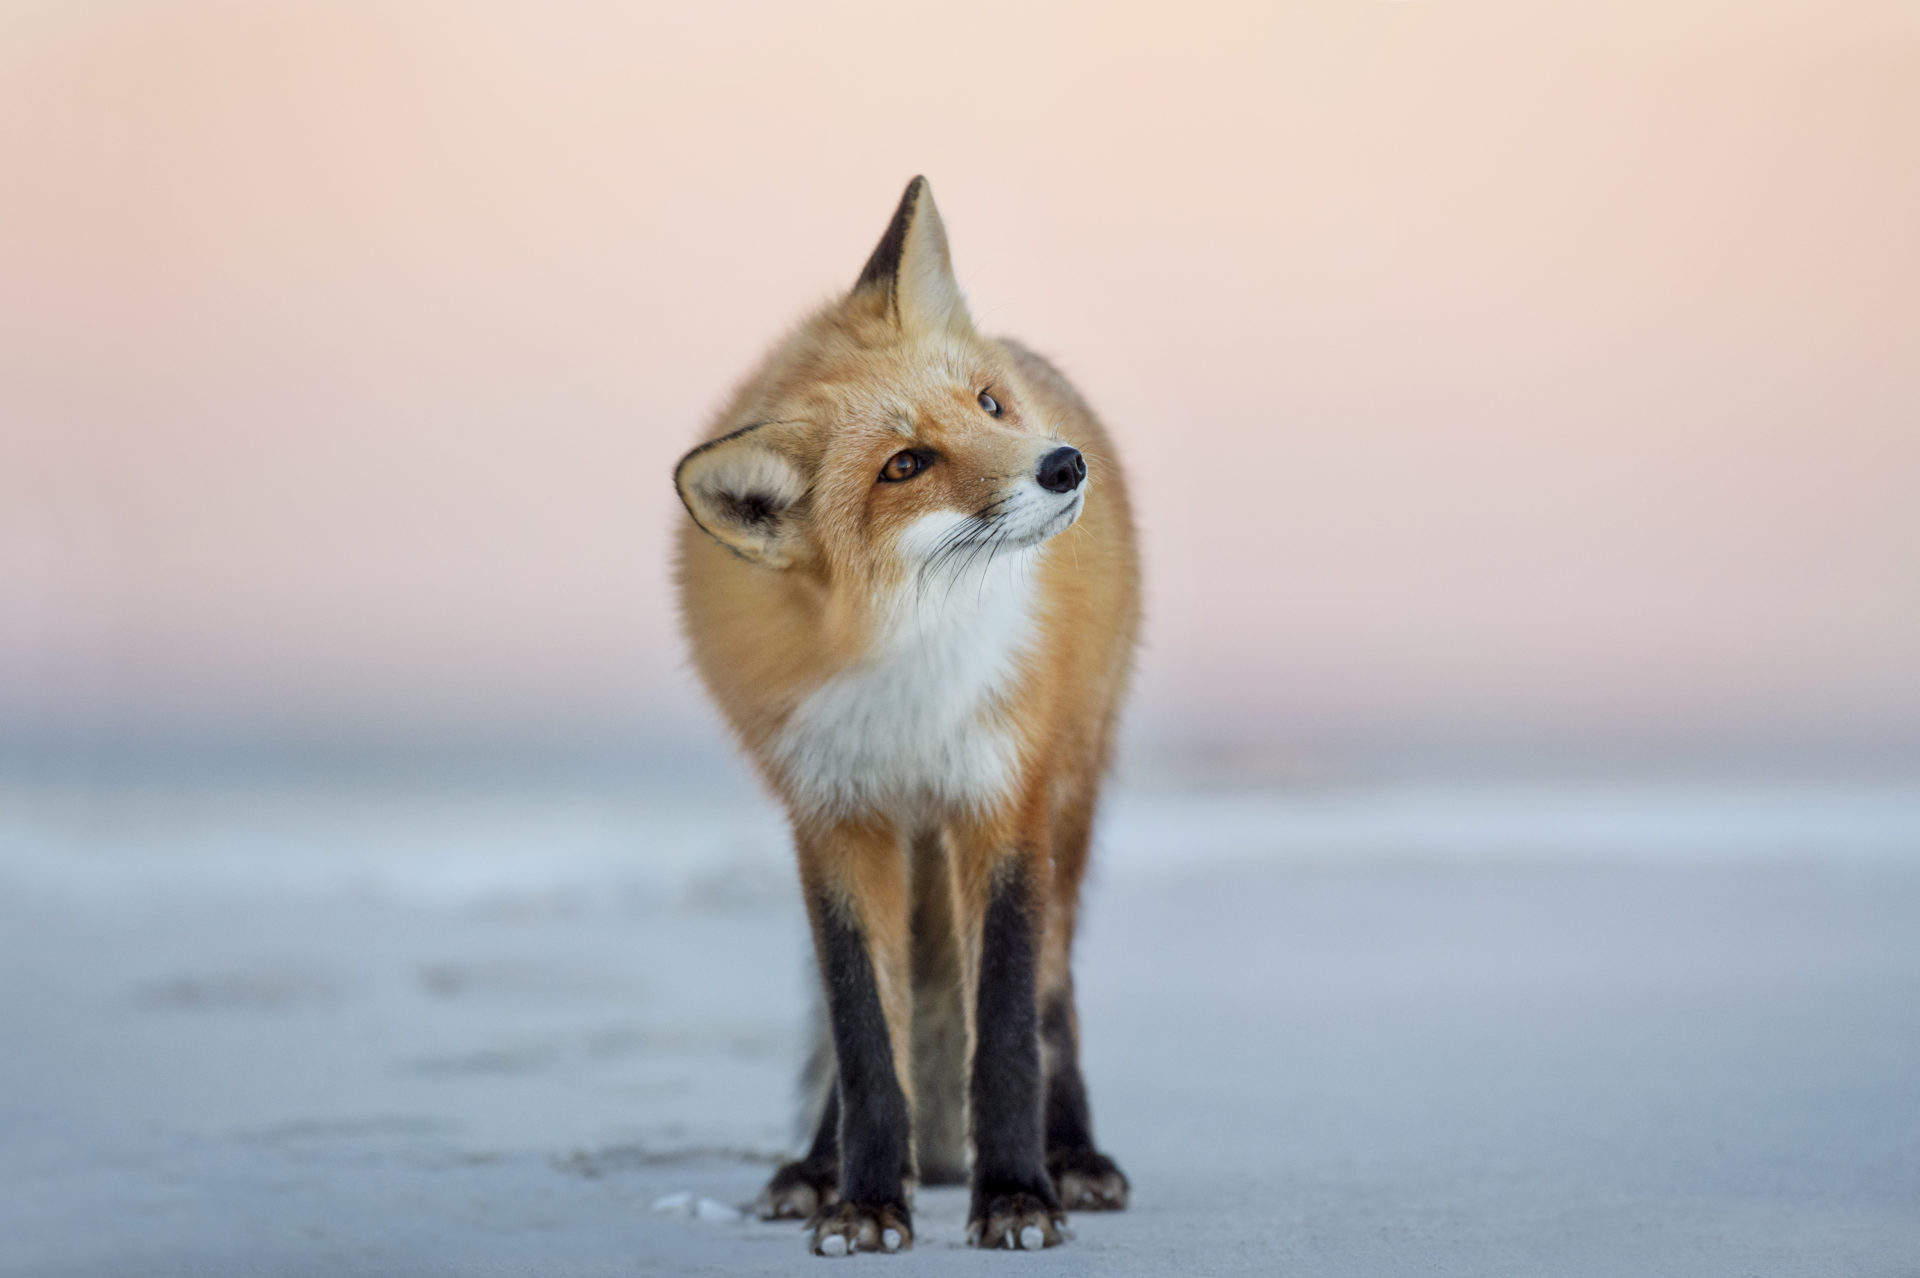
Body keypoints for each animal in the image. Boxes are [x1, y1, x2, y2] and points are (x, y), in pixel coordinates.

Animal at [673, 176, 1140, 1256]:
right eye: (905, 464)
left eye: (987, 405)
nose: (1064, 467)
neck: (899, 668)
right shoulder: (834, 815)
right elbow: (861, 1036)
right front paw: (865, 1201)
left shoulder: (999, 799)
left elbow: (1004, 1028)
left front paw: (1014, 1195)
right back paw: (814, 1167)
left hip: (1071, 798)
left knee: (1055, 998)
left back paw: (1074, 1155)